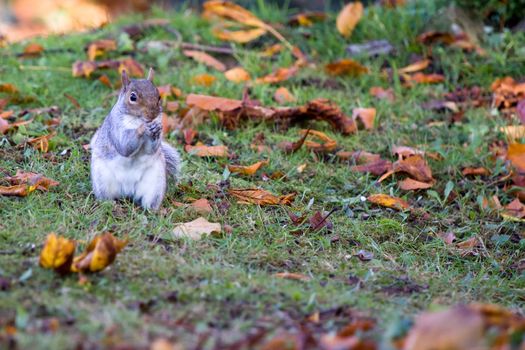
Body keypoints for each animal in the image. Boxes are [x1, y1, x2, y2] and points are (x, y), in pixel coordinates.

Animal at [89, 68, 181, 211]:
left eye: (159, 97)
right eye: (133, 97)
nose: (153, 115)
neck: (136, 119)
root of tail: (128, 190)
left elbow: (150, 149)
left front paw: (156, 128)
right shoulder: (115, 128)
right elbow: (124, 147)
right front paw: (143, 128)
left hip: (155, 183)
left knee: (149, 203)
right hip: (102, 180)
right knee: (105, 198)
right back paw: (111, 205)